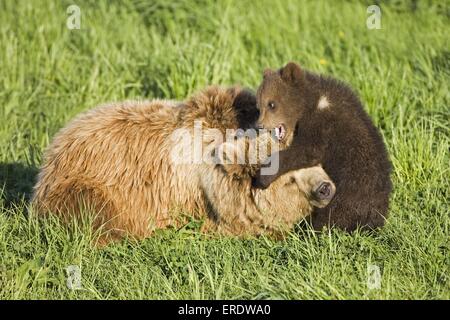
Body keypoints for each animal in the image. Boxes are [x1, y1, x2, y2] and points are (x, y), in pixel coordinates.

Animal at [251, 62, 392, 230]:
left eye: (272, 104)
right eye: (259, 106)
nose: (259, 125)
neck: (310, 103)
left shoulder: (322, 123)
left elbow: (308, 150)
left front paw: (263, 176)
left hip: (349, 191)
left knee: (330, 215)